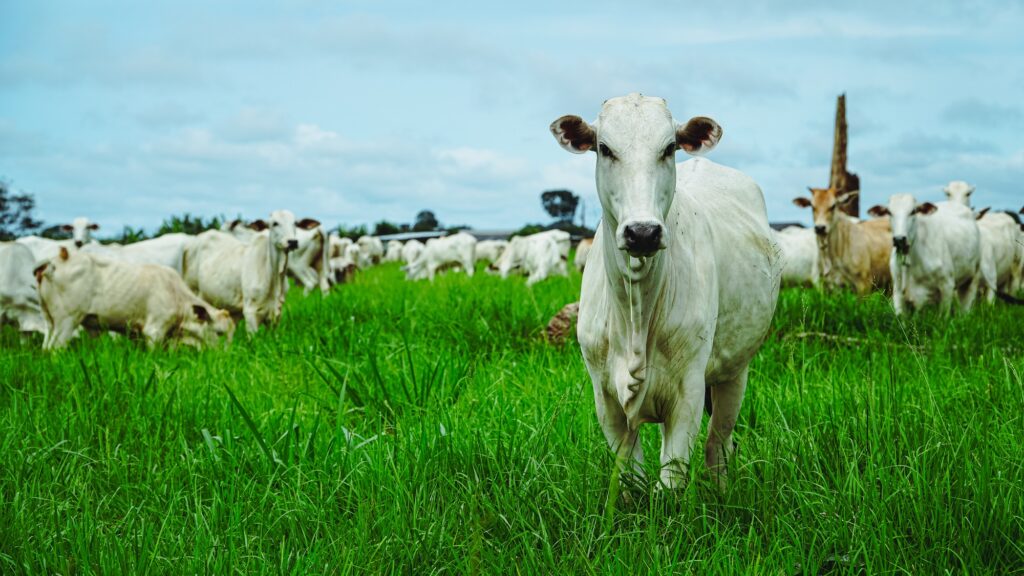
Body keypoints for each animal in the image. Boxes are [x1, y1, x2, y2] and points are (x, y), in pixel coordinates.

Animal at [36, 245, 234, 348]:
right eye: (219, 333)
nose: (226, 357)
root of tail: (56, 262)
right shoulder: (154, 330)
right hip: (67, 321)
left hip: (49, 321)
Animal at [552, 93, 782, 483]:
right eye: (604, 148)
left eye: (670, 147)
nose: (642, 232)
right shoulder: (606, 400)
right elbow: (632, 480)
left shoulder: (688, 394)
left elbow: (671, 482)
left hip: (734, 373)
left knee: (718, 446)